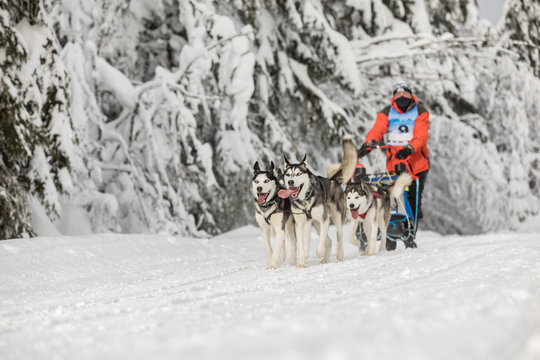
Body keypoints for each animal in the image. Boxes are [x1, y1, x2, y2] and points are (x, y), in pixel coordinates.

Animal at [278, 136, 358, 268]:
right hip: (316, 224)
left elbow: (320, 246)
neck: (305, 200)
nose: (290, 181)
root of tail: (333, 180)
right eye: (288, 174)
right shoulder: (299, 224)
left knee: (339, 234)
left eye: (298, 174)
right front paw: (301, 262)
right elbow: (301, 245)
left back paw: (339, 253)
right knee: (329, 241)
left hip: (336, 217)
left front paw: (319, 253)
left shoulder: (324, 220)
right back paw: (325, 259)